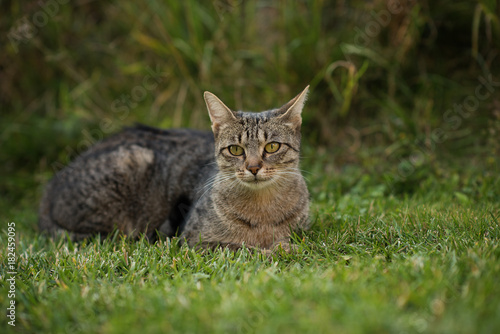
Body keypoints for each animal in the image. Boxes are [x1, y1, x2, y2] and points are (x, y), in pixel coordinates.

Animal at [39, 86, 310, 253]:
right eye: (235, 150)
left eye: (272, 146)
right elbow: (243, 248)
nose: (253, 167)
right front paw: (279, 250)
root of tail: (50, 186)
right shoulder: (195, 242)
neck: (262, 209)